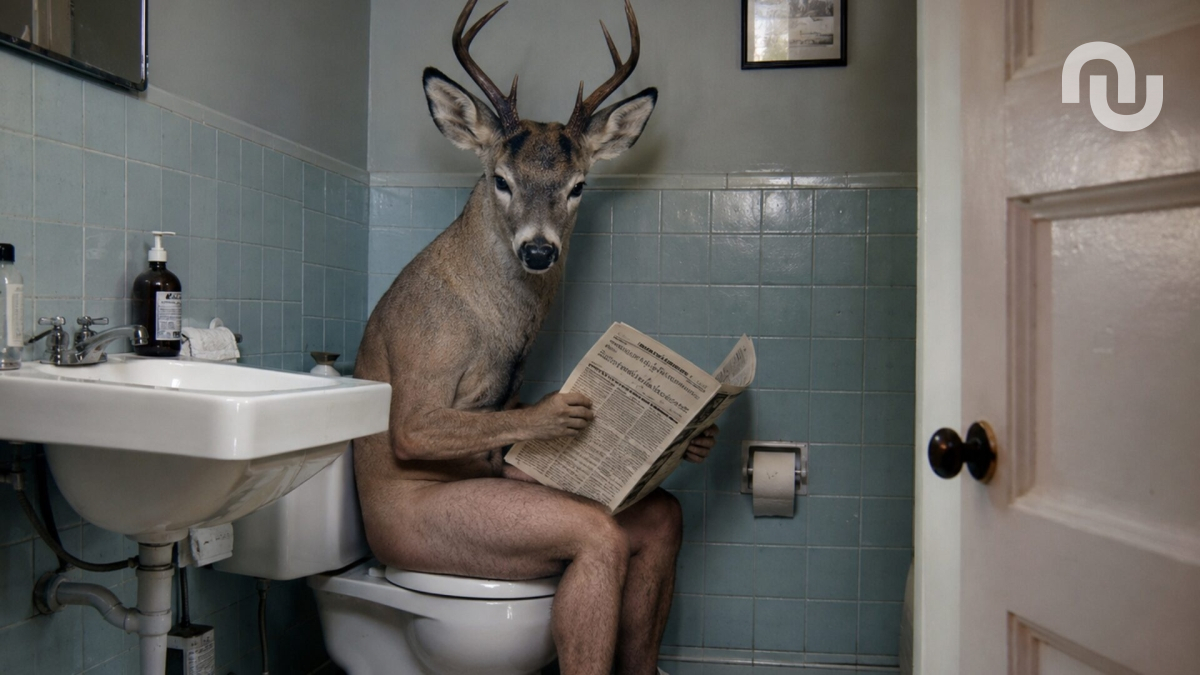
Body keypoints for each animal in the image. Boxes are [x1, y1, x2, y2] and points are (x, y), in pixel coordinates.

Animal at [353, 2, 718, 673]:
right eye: (499, 178)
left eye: (578, 186)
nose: (540, 250)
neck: (499, 323)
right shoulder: (428, 338)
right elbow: (414, 423)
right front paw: (558, 412)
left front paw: (701, 435)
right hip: (453, 534)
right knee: (597, 537)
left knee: (659, 517)